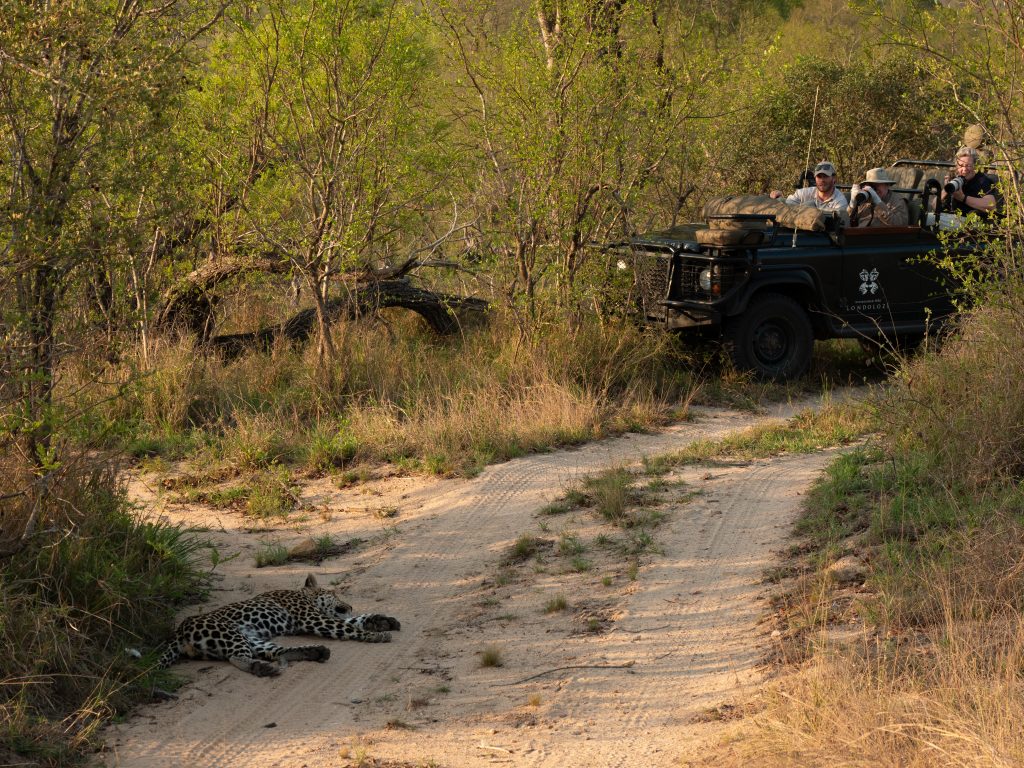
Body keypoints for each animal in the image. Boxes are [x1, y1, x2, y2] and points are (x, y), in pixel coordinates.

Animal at [157, 574, 401, 677]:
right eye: (334, 593)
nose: (349, 605)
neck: (302, 595)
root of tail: (178, 632)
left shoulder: (311, 620)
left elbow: (350, 622)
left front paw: (381, 621)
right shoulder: (311, 619)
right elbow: (347, 627)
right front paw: (376, 636)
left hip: (252, 639)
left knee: (277, 652)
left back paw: (315, 652)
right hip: (229, 634)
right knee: (236, 657)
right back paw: (262, 668)